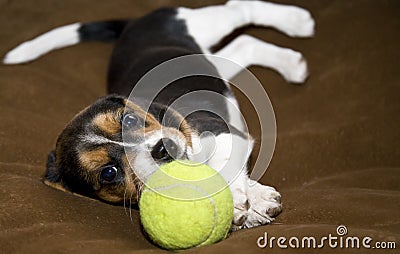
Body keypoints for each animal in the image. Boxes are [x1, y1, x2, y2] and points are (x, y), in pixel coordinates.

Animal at [4, 0, 314, 230]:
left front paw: (241, 198)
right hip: (214, 60)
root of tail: (134, 23)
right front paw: (255, 203)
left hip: (204, 22)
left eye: (128, 119)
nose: (162, 148)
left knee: (240, 9)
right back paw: (290, 63)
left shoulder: (223, 133)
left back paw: (298, 21)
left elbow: (224, 164)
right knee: (243, 44)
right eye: (108, 173)